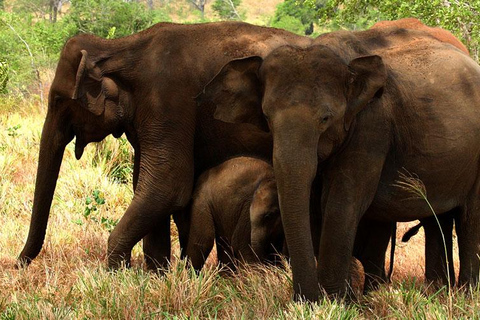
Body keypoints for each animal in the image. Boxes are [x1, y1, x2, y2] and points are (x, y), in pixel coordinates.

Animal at [16, 20, 312, 270]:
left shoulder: (167, 99)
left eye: (58, 100)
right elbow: (146, 183)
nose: (18, 264)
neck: (120, 46)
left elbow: (167, 183)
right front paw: (155, 274)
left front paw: (117, 273)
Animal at [202, 25, 480, 300]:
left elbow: (341, 202)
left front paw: (333, 300)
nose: (305, 297)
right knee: (439, 219)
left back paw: (466, 295)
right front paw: (333, 300)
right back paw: (437, 292)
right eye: (267, 117)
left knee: (469, 219)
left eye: (326, 118)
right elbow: (315, 204)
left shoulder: (372, 126)